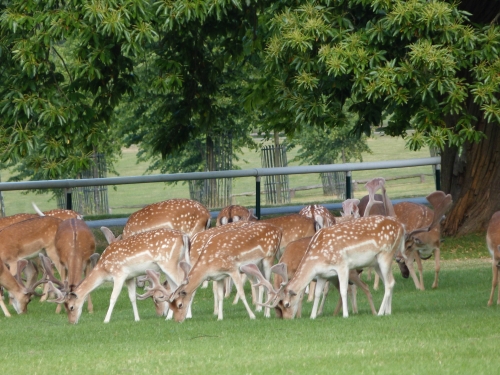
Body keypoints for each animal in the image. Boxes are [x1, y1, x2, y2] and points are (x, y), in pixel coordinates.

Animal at [46, 228, 189, 324]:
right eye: (66, 308)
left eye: (71, 307)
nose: (72, 322)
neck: (103, 269)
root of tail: (184, 236)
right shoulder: (130, 277)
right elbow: (132, 297)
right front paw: (137, 319)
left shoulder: (119, 274)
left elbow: (113, 297)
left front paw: (106, 320)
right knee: (174, 288)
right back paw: (170, 317)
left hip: (169, 262)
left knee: (184, 283)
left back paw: (185, 315)